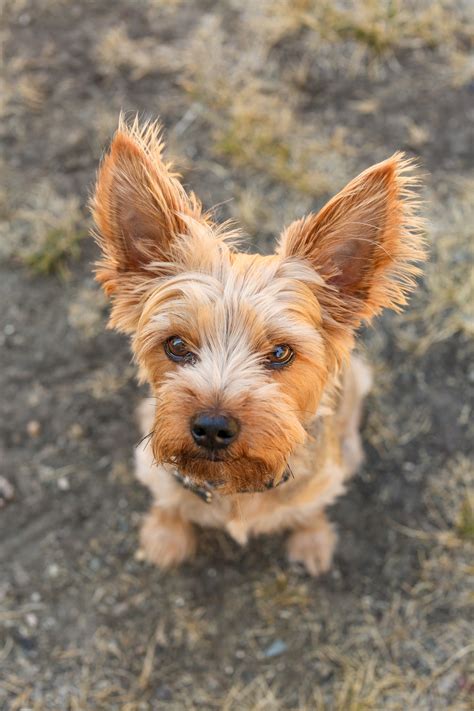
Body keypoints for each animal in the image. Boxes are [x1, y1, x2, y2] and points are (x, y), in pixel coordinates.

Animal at [90, 118, 424, 580]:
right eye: (176, 345)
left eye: (281, 352)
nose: (212, 426)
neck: (235, 485)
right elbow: (168, 502)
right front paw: (165, 537)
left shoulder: (319, 483)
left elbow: (310, 509)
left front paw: (312, 540)